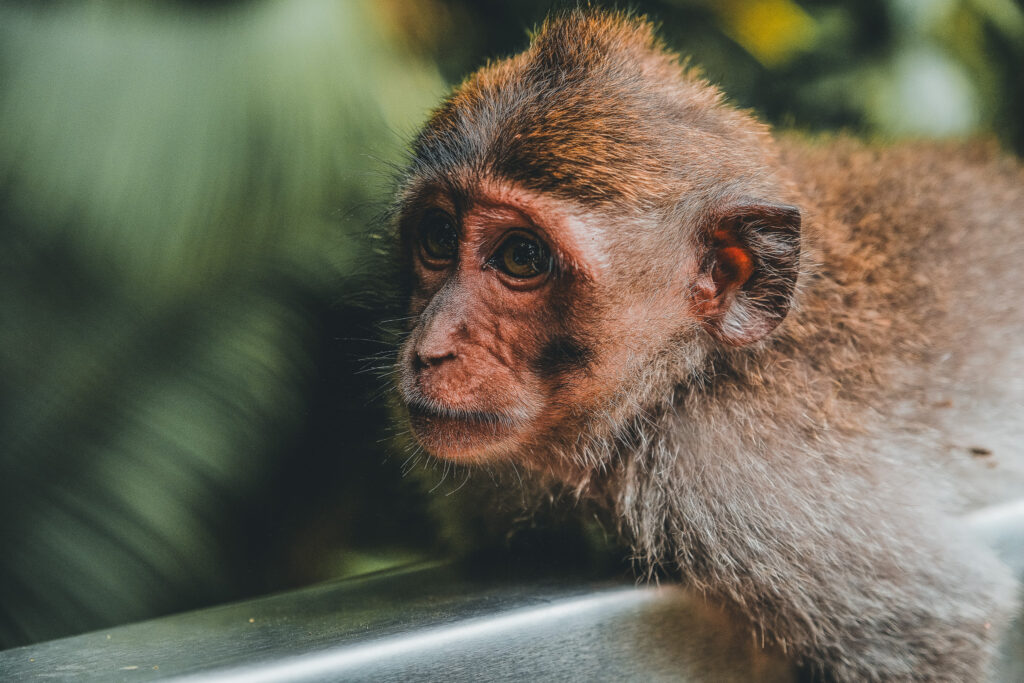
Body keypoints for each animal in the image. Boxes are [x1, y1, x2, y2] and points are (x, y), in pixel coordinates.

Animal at [389, 9, 1023, 682]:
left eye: (521, 257)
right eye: (438, 236)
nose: (430, 348)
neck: (685, 376)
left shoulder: (733, 474)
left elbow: (934, 625)